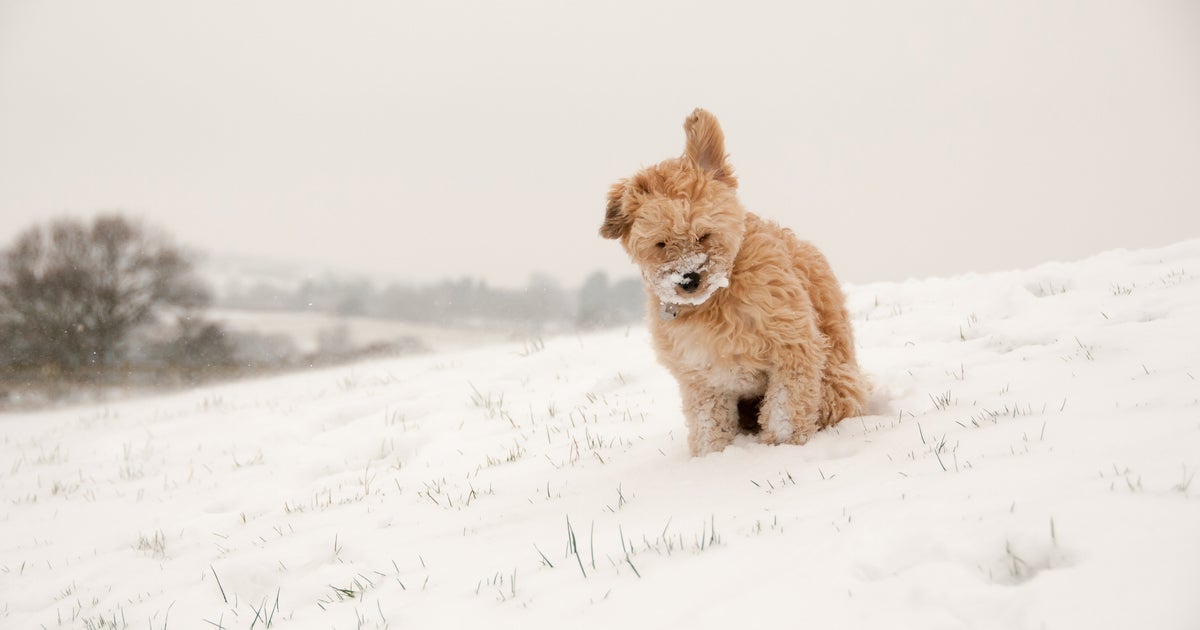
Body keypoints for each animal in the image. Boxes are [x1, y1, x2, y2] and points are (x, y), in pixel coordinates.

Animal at [604, 106, 868, 451]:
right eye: (661, 244)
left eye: (704, 235)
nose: (688, 280)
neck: (716, 299)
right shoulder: (701, 377)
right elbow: (709, 424)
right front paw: (713, 457)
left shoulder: (792, 347)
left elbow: (784, 410)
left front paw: (780, 448)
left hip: (836, 385)